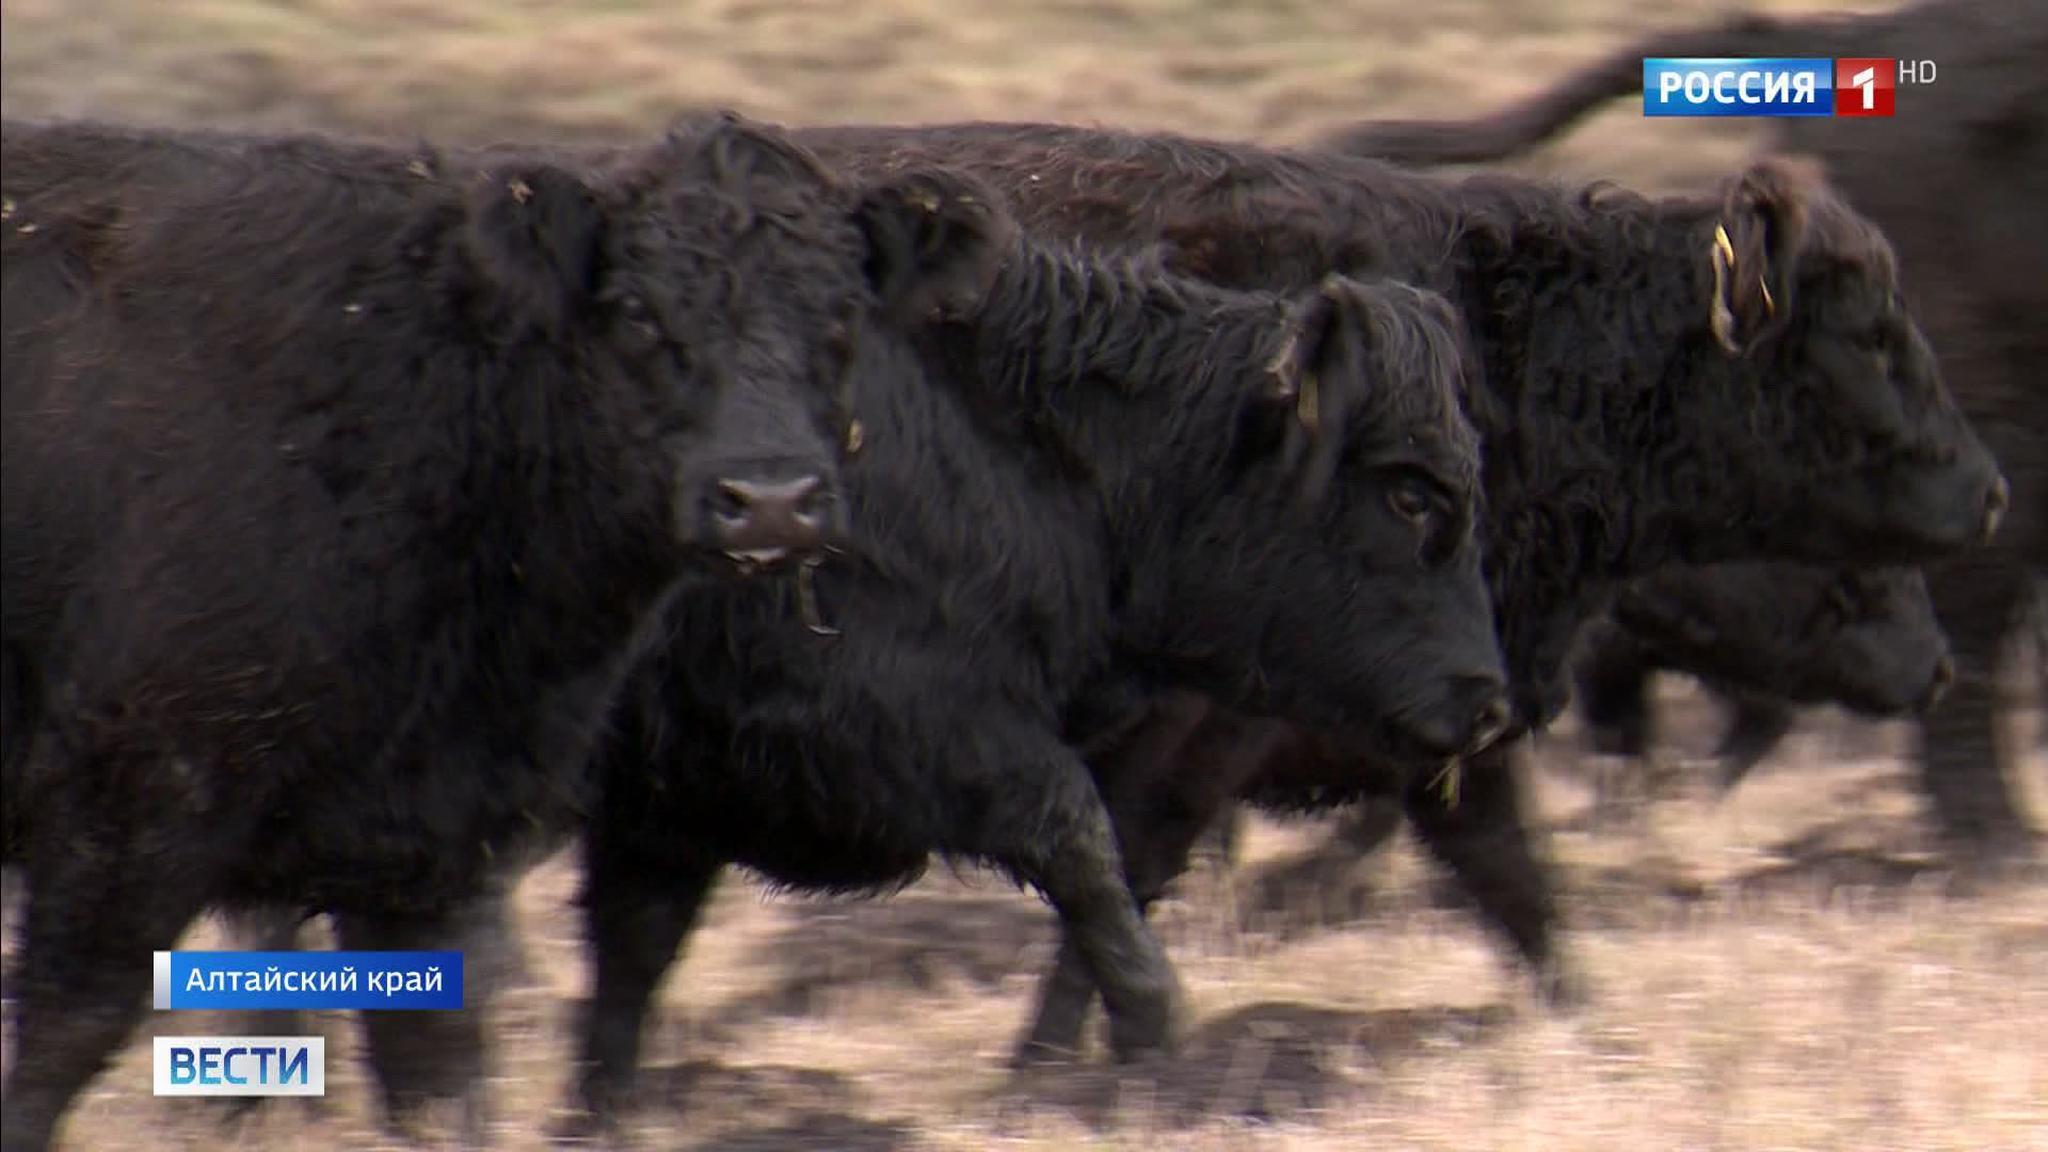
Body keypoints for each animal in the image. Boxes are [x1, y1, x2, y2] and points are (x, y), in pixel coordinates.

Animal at [0, 112, 1016, 1152]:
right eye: (638, 314)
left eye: (842, 316)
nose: (771, 500)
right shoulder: (136, 793)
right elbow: (62, 1040)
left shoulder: (423, 844)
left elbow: (437, 1080)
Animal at [551, 231, 1511, 1135]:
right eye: (1409, 494)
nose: (1487, 702)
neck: (1019, 445)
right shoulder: (898, 728)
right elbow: (1074, 832)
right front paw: (1154, 1033)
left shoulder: (665, 811)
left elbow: (630, 962)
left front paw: (600, 1117)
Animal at [783, 118, 2009, 1059]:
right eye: (1870, 334)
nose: (1990, 493)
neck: (1504, 349)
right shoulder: (1195, 732)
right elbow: (1122, 865)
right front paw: (1070, 1071)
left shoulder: (1447, 718)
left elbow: (1514, 883)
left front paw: (1595, 1030)